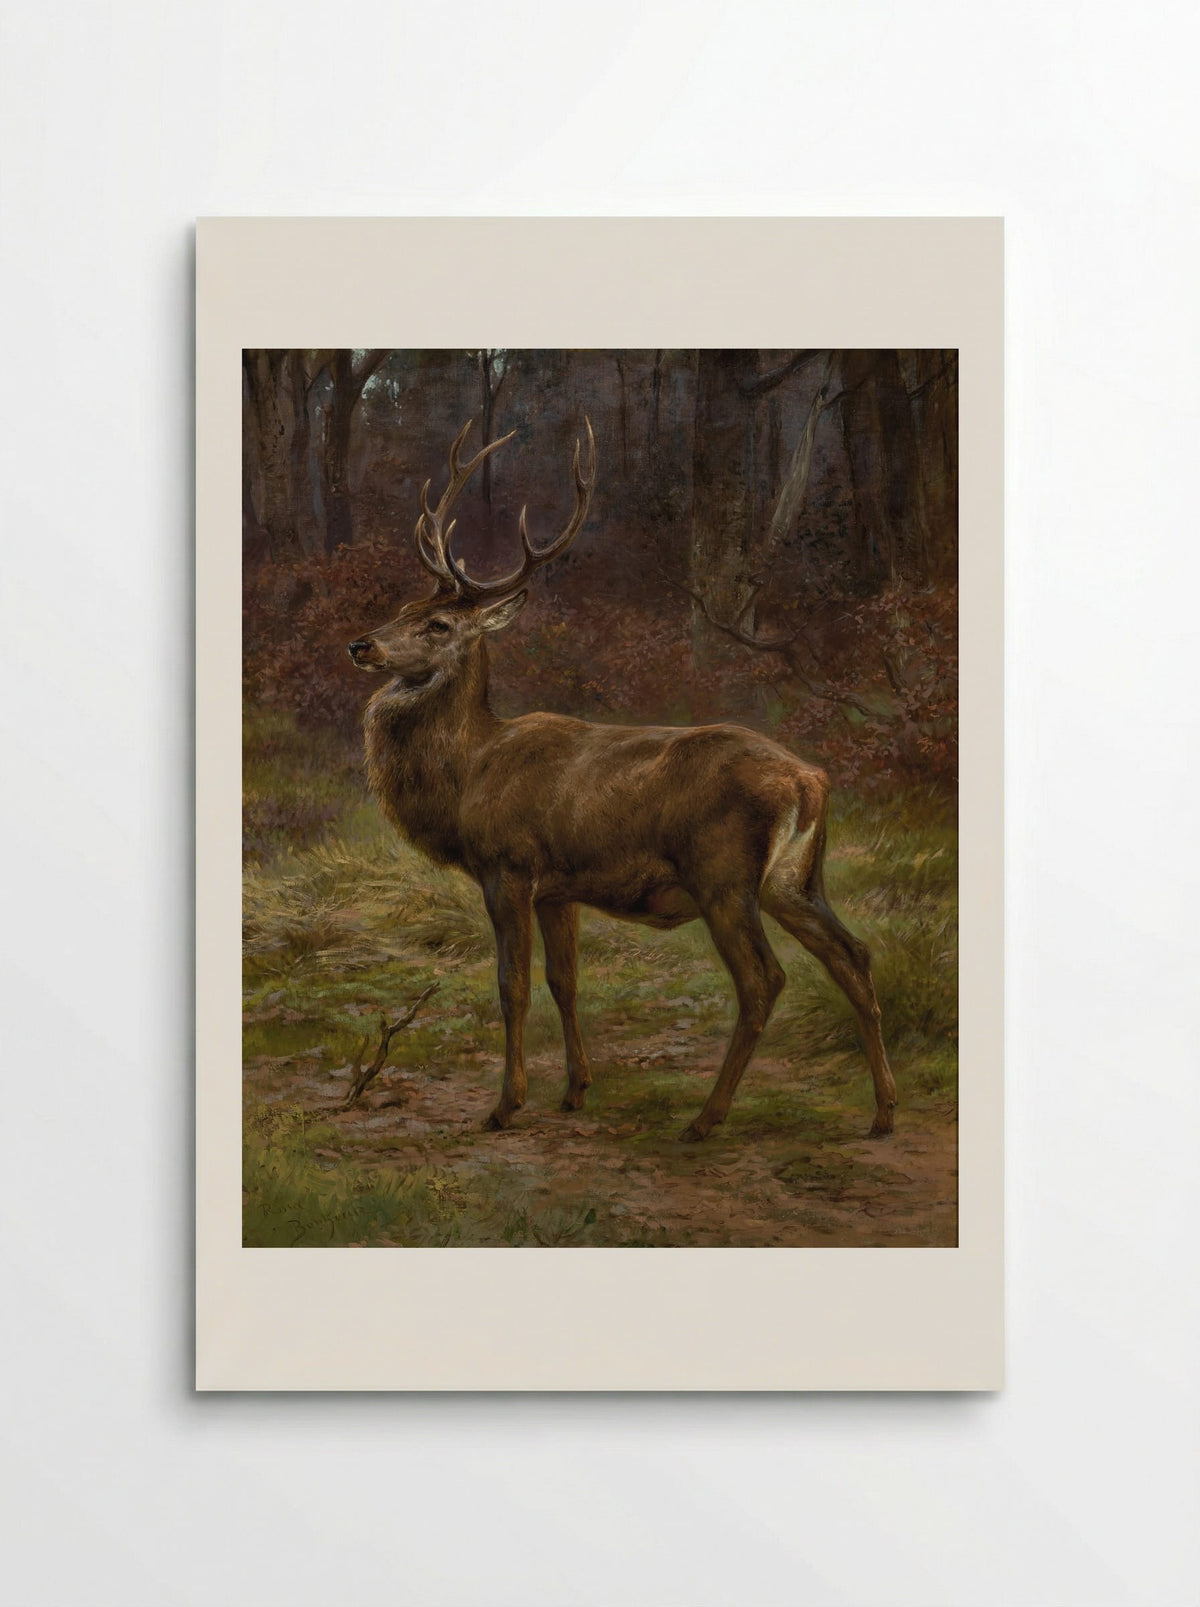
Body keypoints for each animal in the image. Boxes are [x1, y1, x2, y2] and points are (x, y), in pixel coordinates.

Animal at [347, 420, 897, 1143]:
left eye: (437, 624)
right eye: (403, 606)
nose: (362, 644)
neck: (470, 771)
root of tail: (810, 780)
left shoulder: (508, 865)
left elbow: (512, 985)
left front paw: (504, 1105)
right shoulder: (557, 888)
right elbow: (565, 981)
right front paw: (575, 1089)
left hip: (724, 873)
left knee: (763, 980)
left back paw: (706, 1118)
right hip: (796, 879)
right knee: (853, 956)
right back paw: (884, 1112)